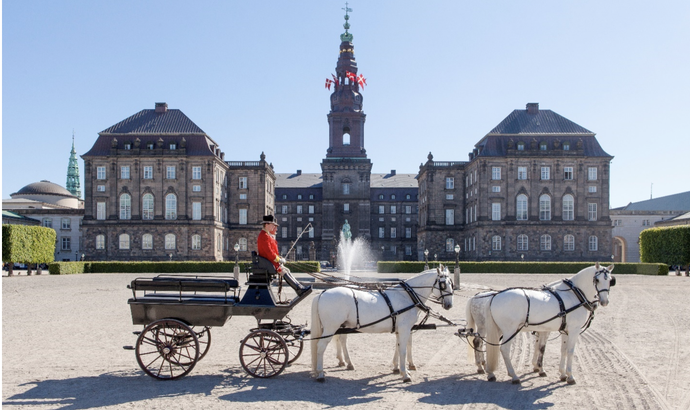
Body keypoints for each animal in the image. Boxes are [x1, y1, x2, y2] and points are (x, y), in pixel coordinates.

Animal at [310, 266, 452, 382]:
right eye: (443, 284)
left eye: (451, 283)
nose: (449, 305)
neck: (406, 296)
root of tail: (322, 293)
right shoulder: (405, 329)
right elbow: (403, 350)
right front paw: (405, 374)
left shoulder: (400, 329)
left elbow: (399, 347)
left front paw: (398, 368)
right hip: (331, 327)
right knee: (321, 346)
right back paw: (320, 373)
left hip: (342, 326)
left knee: (341, 340)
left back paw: (346, 363)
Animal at [464, 262, 616, 384]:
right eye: (596, 279)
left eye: (610, 280)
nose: (604, 301)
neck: (573, 294)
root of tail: (493, 296)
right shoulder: (573, 330)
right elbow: (568, 351)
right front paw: (569, 376)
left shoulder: (564, 330)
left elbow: (562, 350)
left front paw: (561, 374)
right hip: (508, 330)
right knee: (502, 349)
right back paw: (513, 376)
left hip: (496, 329)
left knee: (484, 344)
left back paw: (489, 371)